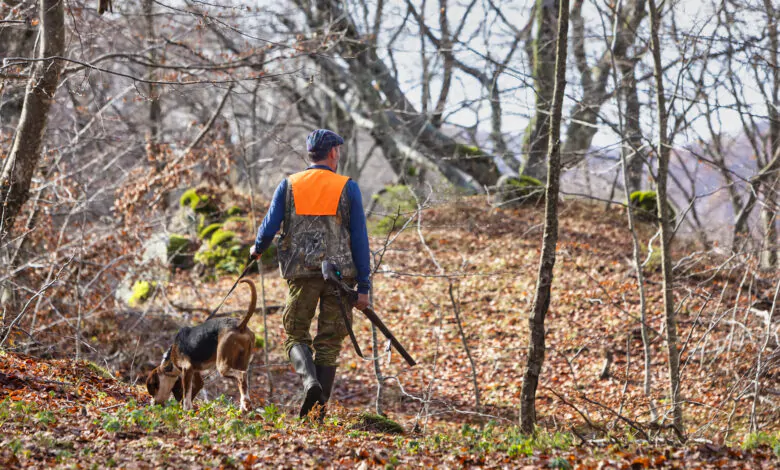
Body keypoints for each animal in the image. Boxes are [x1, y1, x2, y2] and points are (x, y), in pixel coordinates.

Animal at [146, 280, 256, 412]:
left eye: (152, 390)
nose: (152, 404)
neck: (170, 358)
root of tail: (240, 325)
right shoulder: (195, 374)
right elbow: (193, 391)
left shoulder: (187, 369)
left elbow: (186, 395)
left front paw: (186, 411)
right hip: (242, 362)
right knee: (243, 383)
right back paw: (244, 408)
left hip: (223, 366)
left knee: (241, 375)